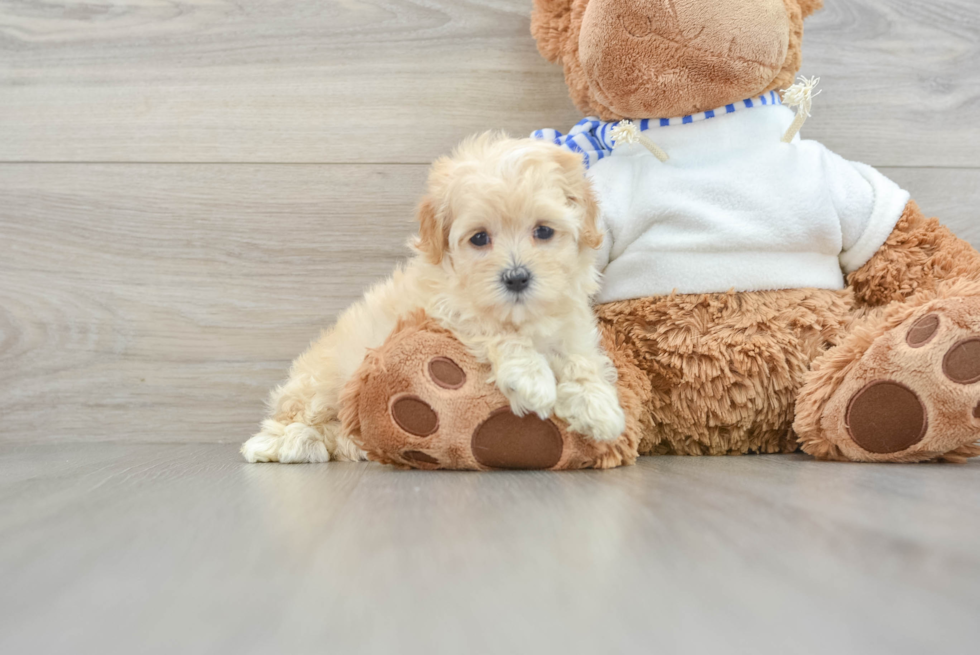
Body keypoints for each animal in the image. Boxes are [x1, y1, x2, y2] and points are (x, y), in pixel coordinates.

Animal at [245, 132, 628, 462]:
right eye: (479, 238)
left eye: (544, 231)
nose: (516, 277)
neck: (522, 315)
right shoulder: (445, 310)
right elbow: (492, 328)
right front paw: (532, 380)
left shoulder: (570, 321)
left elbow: (580, 358)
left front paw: (598, 406)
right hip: (321, 381)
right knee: (296, 416)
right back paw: (287, 442)